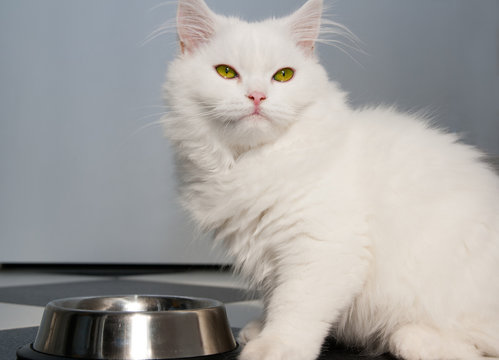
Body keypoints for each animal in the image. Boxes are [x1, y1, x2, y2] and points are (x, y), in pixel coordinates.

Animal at [163, 0, 499, 360]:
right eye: (226, 72)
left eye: (283, 75)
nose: (257, 96)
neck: (249, 162)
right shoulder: (271, 255)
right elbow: (274, 298)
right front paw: (260, 329)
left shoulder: (323, 247)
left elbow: (294, 307)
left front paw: (273, 346)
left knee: (461, 343)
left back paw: (414, 338)